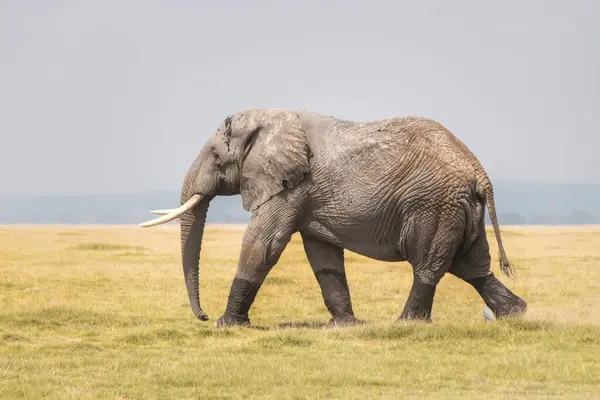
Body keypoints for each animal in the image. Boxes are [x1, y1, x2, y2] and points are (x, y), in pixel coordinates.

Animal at [139, 108, 524, 326]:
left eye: (217, 157)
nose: (202, 317)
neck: (271, 120)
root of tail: (478, 172)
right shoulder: (307, 195)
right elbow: (322, 256)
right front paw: (345, 326)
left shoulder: (291, 185)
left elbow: (264, 244)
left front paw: (227, 325)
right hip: (459, 209)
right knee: (472, 267)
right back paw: (516, 314)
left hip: (434, 206)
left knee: (430, 265)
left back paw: (407, 324)